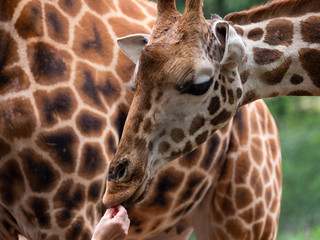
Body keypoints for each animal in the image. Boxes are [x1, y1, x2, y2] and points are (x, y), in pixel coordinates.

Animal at [0, 0, 280, 240]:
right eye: (133, 84)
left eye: (199, 85)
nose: (115, 187)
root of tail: (266, 116)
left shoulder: (68, 211)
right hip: (170, 226)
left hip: (246, 216)